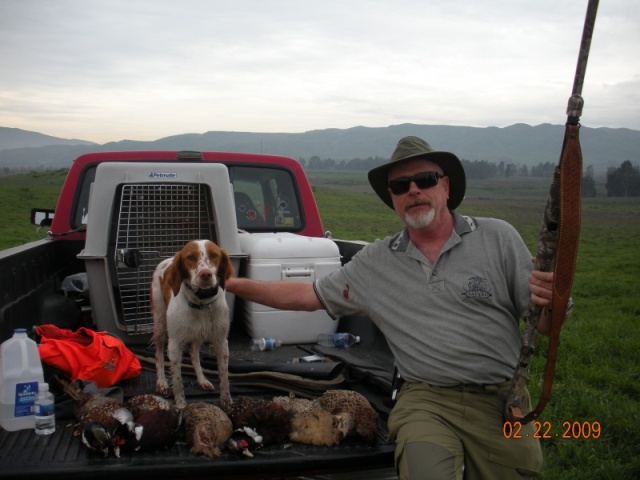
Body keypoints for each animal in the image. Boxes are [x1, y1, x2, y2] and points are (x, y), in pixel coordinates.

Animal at [151, 240, 234, 408]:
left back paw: (202, 380)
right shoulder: (174, 345)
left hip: (196, 335)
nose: (206, 274)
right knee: (158, 354)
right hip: (160, 323)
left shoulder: (221, 342)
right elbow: (177, 381)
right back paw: (161, 382)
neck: (202, 302)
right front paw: (181, 404)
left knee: (194, 354)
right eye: (190, 257)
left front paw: (226, 400)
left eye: (214, 255)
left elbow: (224, 376)